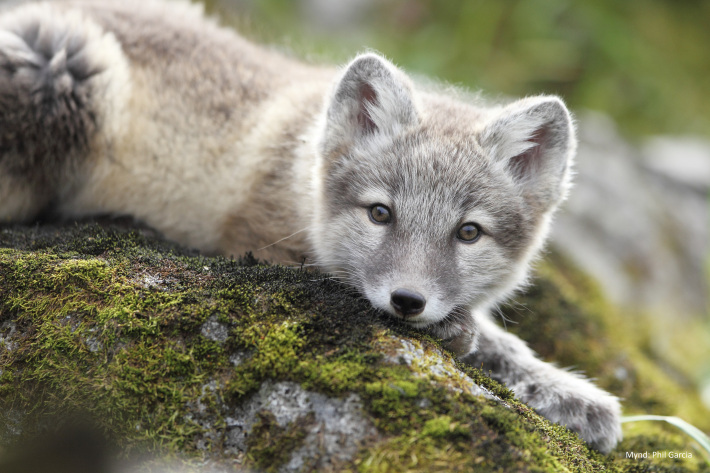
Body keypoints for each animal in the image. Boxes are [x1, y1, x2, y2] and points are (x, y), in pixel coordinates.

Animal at [0, 0, 624, 450]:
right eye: (380, 213)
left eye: (468, 232)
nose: (407, 302)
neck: (299, 173)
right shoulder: (263, 241)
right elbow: (482, 336)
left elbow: (505, 344)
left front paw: (568, 394)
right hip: (62, 64)